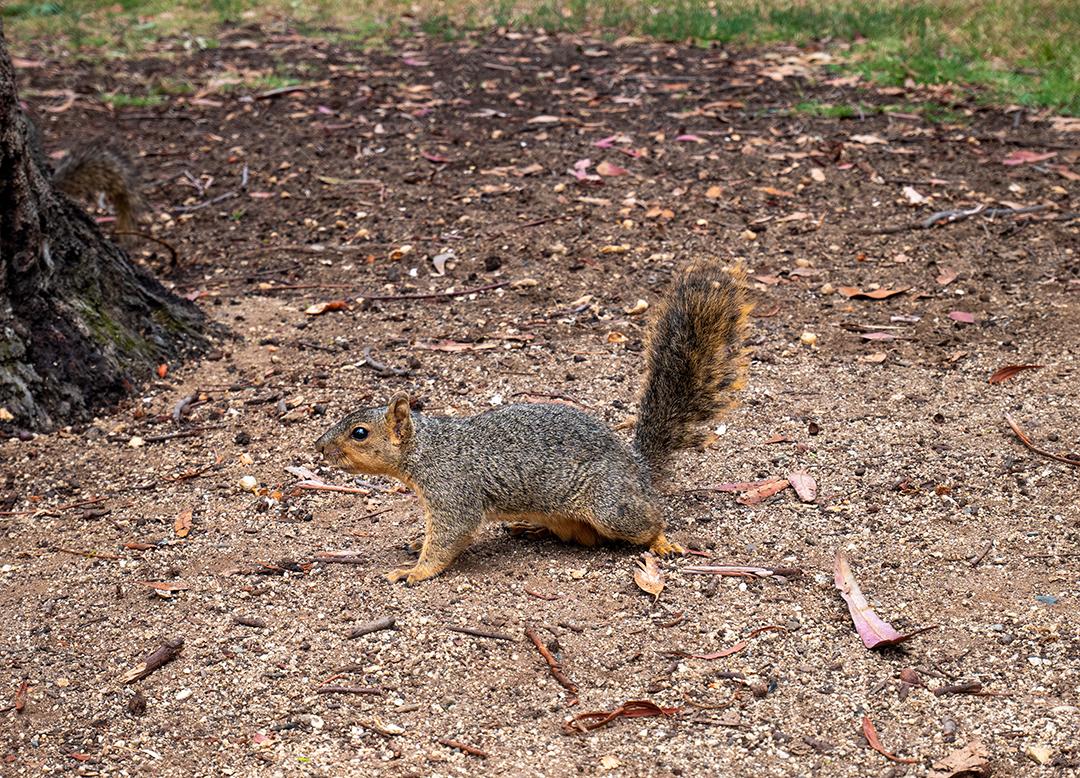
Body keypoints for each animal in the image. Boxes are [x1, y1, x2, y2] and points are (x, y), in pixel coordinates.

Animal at [315, 261, 747, 583]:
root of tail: (637, 468)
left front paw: (414, 571)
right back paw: (530, 528)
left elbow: (449, 537)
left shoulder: (454, 492)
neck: (428, 449)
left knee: (645, 521)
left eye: (359, 433)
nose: (319, 447)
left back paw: (660, 542)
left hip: (611, 505)